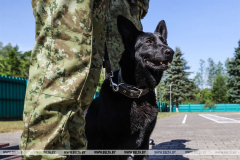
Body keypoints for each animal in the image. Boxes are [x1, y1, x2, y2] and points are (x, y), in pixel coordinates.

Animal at [83, 15, 173, 160]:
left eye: (164, 41)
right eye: (148, 42)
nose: (171, 51)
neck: (136, 93)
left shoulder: (143, 144)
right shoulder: (112, 147)